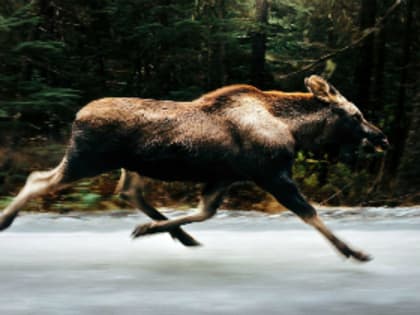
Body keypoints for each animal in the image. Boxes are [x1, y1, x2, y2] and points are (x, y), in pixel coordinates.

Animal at [0, 76, 388, 262]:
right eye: (356, 115)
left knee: (129, 192)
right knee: (38, 179)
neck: (296, 131)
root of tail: (76, 116)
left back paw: (173, 233)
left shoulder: (225, 177)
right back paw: (6, 219)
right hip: (86, 159)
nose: (381, 137)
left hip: (129, 165)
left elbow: (204, 212)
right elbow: (310, 213)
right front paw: (353, 252)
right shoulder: (272, 175)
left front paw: (153, 230)